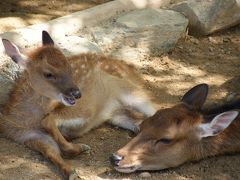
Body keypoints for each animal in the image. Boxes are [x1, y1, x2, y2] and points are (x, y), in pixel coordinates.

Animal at [0, 30, 158, 177]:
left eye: (69, 67)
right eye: (48, 74)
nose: (77, 93)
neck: (30, 121)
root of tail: (132, 71)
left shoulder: (84, 109)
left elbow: (49, 120)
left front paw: (81, 148)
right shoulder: (27, 136)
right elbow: (51, 152)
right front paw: (70, 171)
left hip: (131, 93)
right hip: (116, 115)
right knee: (140, 123)